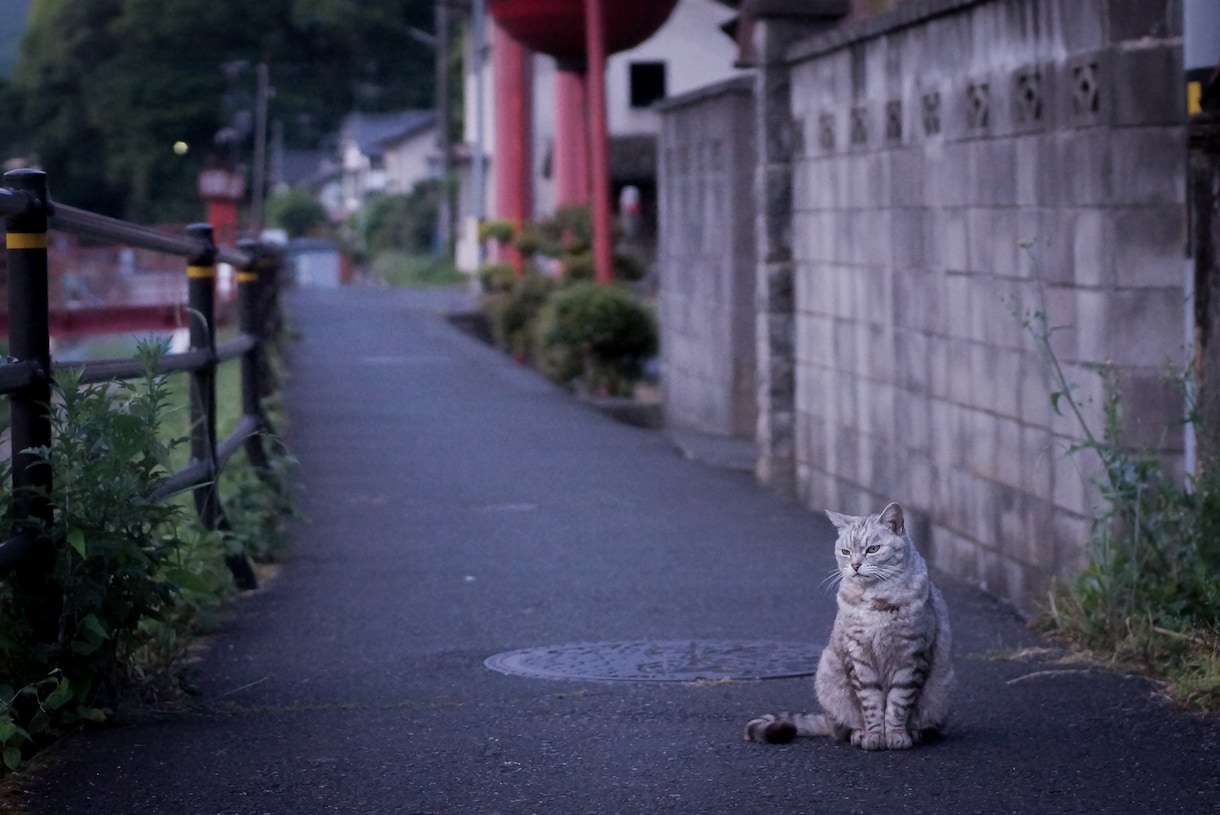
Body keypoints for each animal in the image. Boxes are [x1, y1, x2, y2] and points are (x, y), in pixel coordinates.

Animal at [741, 502, 951, 751]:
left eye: (872, 549)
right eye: (845, 552)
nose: (855, 565)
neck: (875, 600)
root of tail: (826, 718)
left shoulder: (911, 655)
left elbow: (898, 703)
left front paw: (896, 735)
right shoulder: (858, 655)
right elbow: (871, 703)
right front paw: (873, 736)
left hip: (940, 693)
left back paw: (915, 733)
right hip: (829, 680)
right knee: (841, 728)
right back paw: (858, 733)